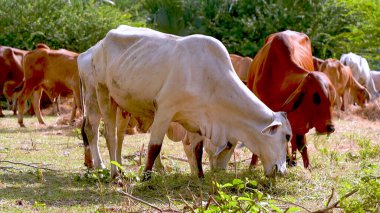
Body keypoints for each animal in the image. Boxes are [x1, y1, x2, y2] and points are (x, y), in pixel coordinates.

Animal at [76, 25, 290, 180]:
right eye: (287, 136)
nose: (281, 170)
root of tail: (98, 46)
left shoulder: (197, 120)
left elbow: (197, 150)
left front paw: (200, 176)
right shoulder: (165, 110)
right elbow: (154, 147)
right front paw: (146, 178)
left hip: (122, 106)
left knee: (118, 136)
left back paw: (119, 169)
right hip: (100, 94)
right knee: (103, 133)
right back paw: (111, 173)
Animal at [246, 30, 336, 170]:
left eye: (332, 99)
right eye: (316, 98)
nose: (331, 128)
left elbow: (301, 144)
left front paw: (308, 168)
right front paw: (252, 166)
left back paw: (292, 160)